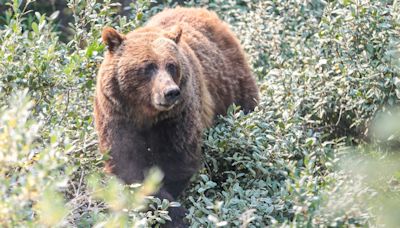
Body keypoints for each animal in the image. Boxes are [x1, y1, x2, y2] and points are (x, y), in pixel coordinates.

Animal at [94, 6, 260, 227]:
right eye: (148, 67)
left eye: (171, 65)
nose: (171, 92)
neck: (145, 114)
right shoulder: (116, 115)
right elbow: (127, 162)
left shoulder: (176, 117)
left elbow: (178, 159)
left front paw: (175, 212)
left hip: (233, 86)